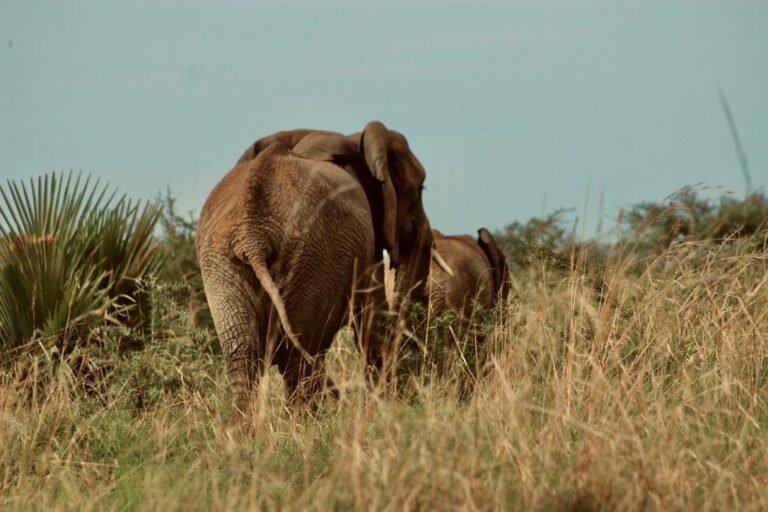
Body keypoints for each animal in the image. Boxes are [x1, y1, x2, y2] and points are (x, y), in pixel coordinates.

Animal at [196, 121, 433, 417]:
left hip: (224, 263)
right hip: (312, 258)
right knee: (298, 355)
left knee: (244, 354)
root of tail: (252, 235)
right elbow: (372, 323)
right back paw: (308, 424)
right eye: (420, 188)